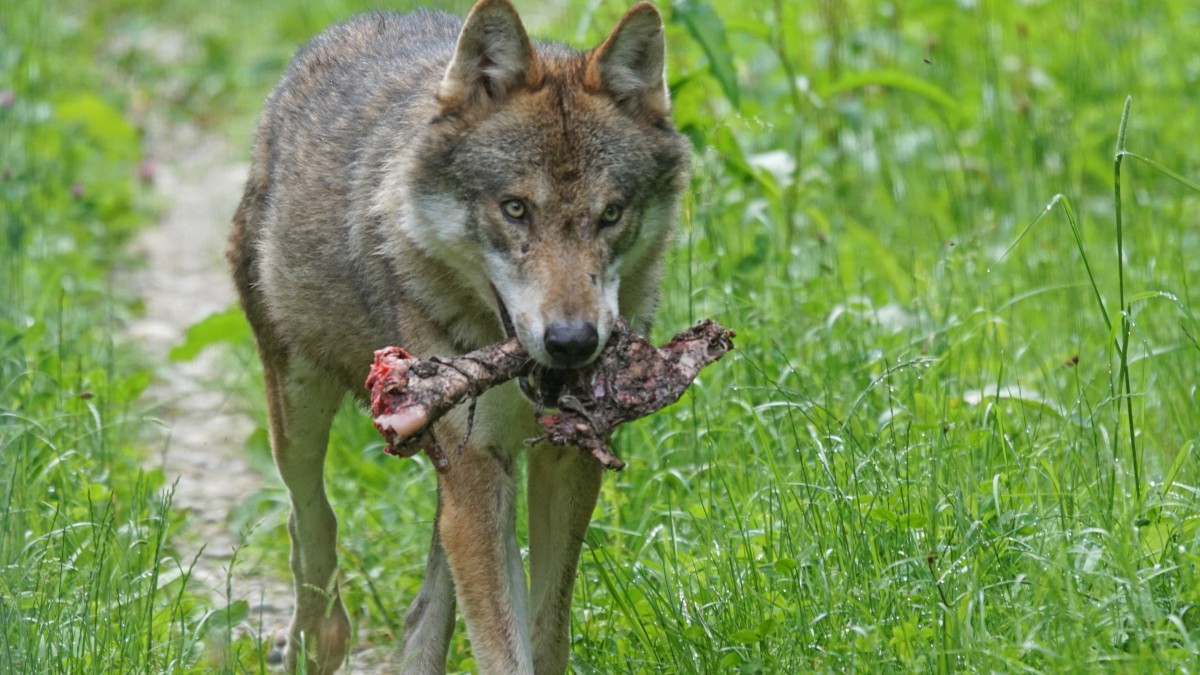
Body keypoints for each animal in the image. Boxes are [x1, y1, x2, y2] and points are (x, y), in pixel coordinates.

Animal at [228, 2, 691, 667]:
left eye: (611, 214)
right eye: (515, 209)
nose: (572, 342)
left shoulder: (563, 461)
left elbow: (544, 630)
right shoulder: (476, 467)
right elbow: (503, 647)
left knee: (426, 602)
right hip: (299, 409)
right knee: (307, 516)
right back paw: (318, 640)